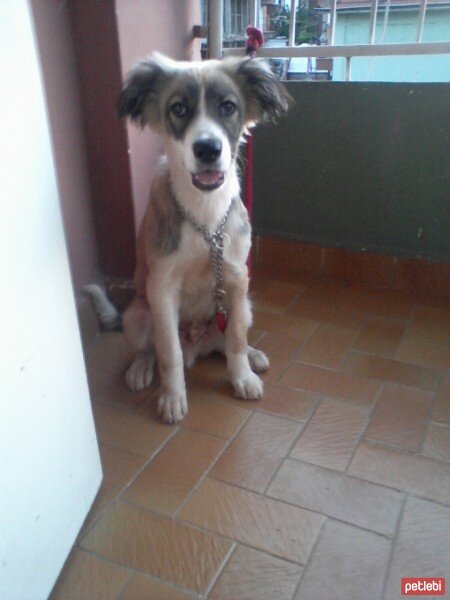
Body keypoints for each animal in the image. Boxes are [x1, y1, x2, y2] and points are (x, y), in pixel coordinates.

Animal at [89, 54, 290, 424]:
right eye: (178, 109)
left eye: (228, 106)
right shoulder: (162, 288)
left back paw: (251, 356)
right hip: (137, 315)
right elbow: (168, 353)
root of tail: (196, 344)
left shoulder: (237, 279)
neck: (205, 218)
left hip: (246, 307)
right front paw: (172, 397)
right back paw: (140, 370)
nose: (208, 149)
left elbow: (235, 338)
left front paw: (242, 376)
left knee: (226, 341)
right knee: (149, 349)